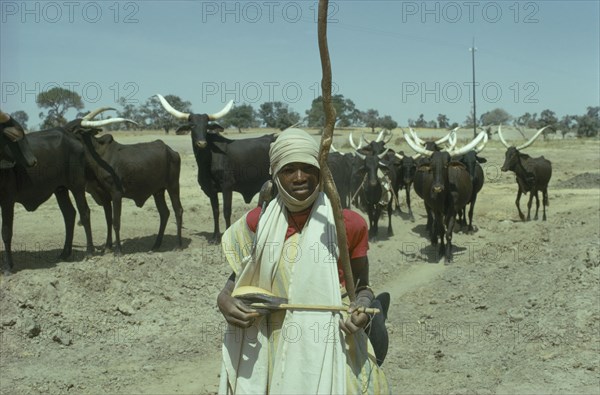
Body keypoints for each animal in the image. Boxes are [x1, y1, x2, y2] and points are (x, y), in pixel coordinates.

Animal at [157, 96, 274, 244]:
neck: (208, 159)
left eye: (206, 126)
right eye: (192, 125)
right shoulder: (211, 189)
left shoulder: (227, 185)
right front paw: (214, 237)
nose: (202, 143)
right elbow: (215, 211)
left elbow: (226, 211)